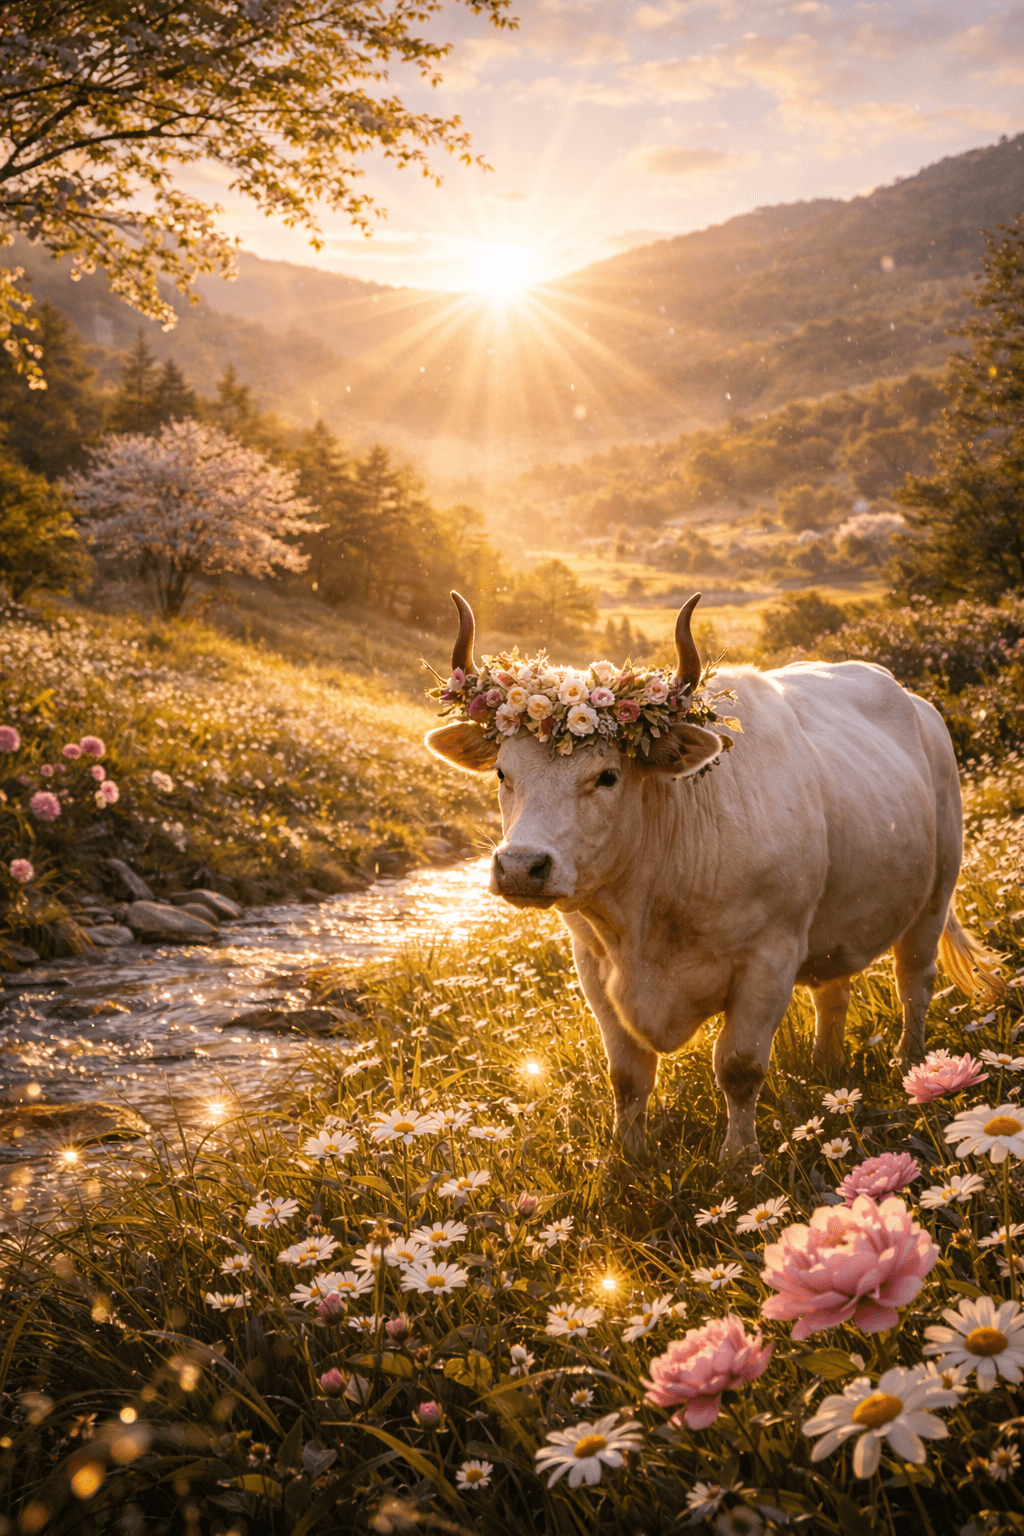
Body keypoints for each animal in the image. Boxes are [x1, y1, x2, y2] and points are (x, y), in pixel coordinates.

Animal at [425, 590, 1002, 1165]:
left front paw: (739, 1160)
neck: (646, 918)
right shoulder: (592, 963)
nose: (521, 865)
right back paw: (827, 1067)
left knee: (914, 982)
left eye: (607, 776)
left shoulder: (770, 957)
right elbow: (628, 1076)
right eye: (503, 772)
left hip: (936, 893)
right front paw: (627, 1157)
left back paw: (912, 1064)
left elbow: (739, 1067)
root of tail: (920, 707)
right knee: (833, 994)